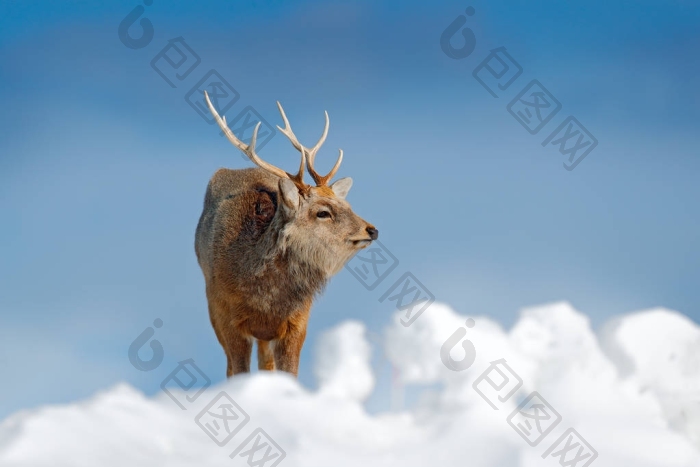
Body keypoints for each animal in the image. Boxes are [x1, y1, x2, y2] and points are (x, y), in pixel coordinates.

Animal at [195, 92, 378, 377]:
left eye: (347, 205)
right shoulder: (225, 315)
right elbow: (238, 371)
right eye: (322, 212)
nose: (371, 229)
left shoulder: (298, 322)